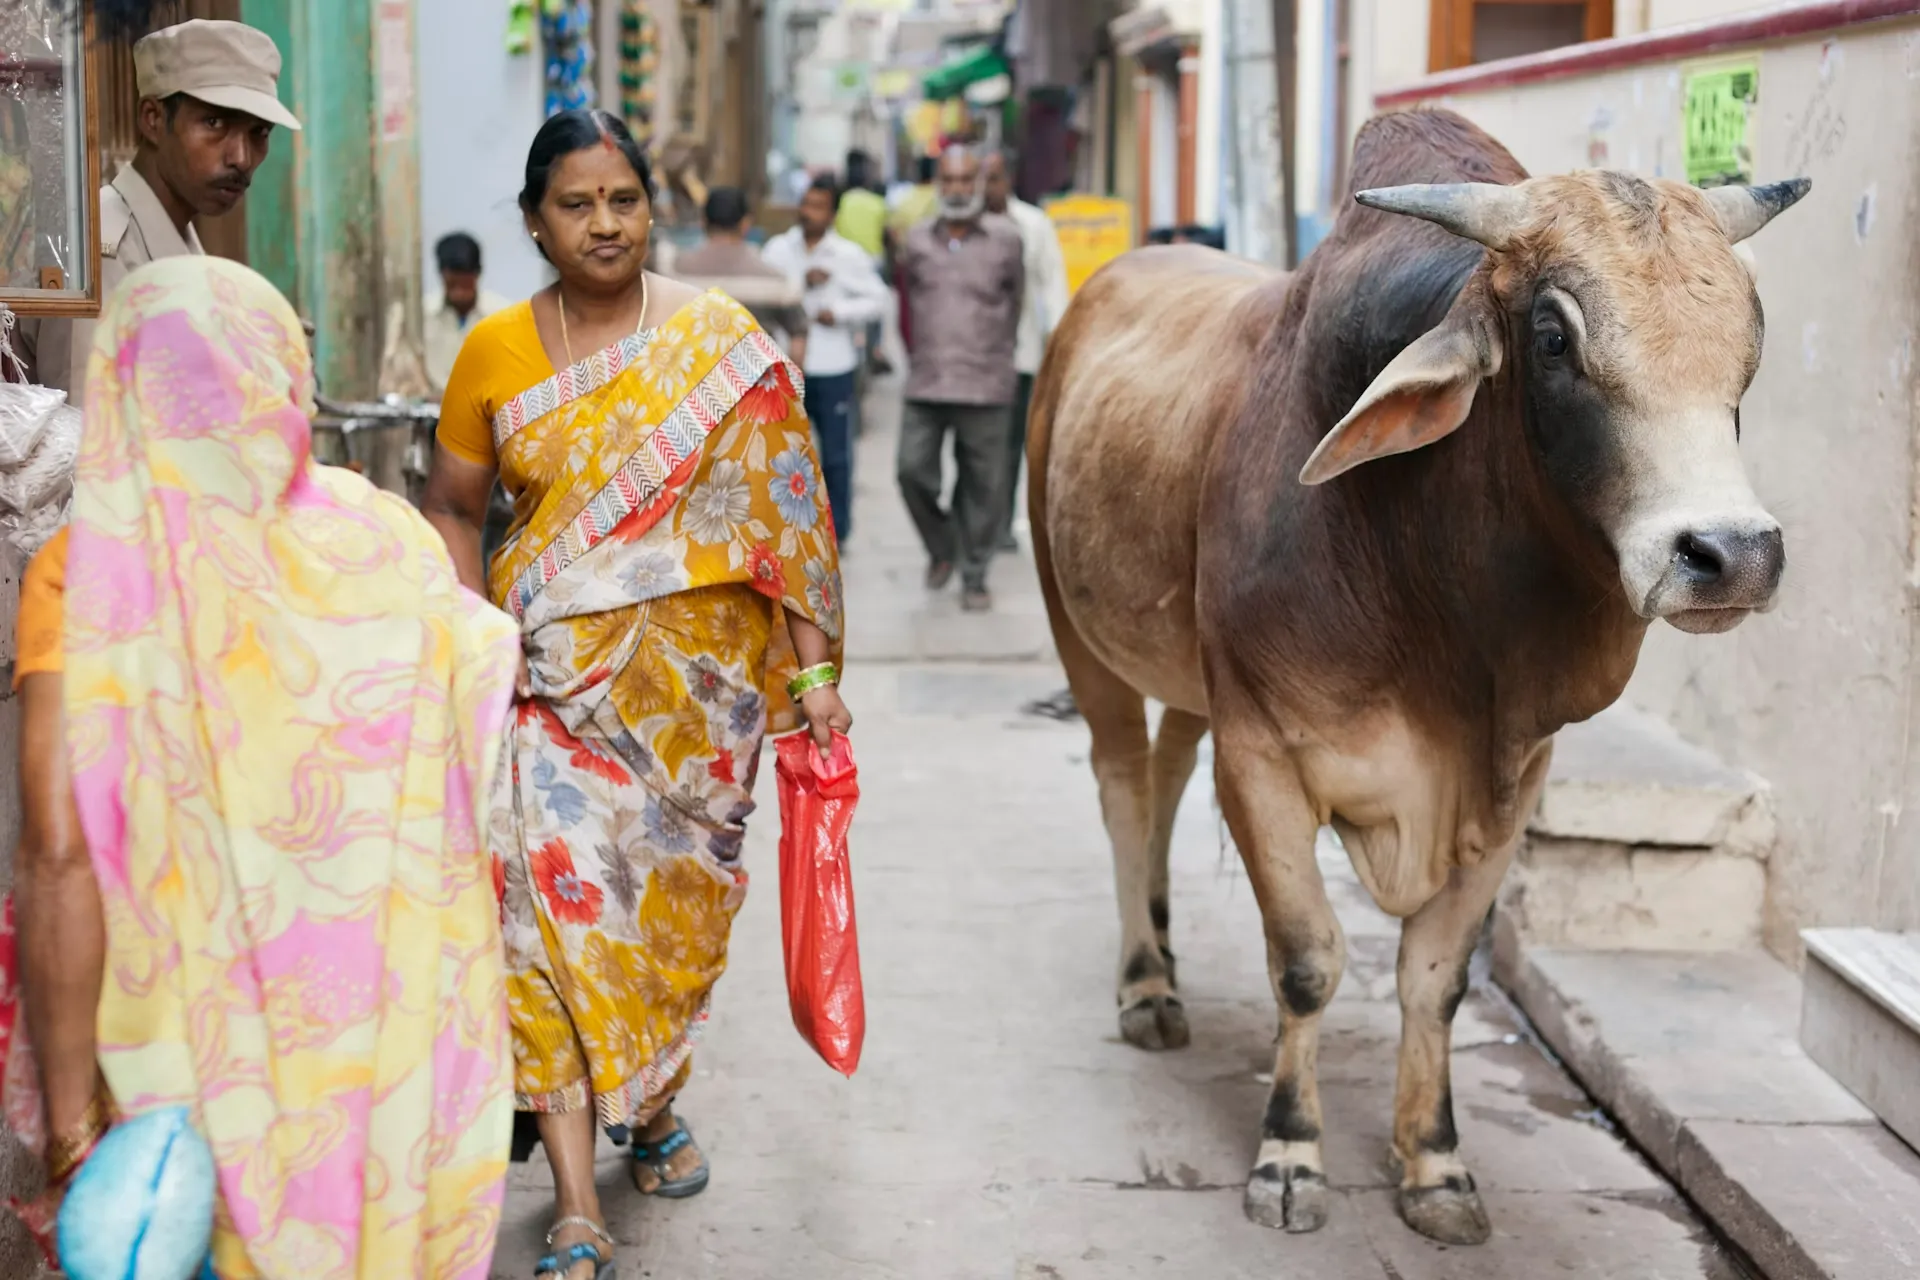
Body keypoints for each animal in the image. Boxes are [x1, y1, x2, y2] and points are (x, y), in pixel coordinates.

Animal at [1029, 110, 1804, 1243]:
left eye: (1751, 334)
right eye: (1555, 338)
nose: (1731, 554)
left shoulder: (1510, 784)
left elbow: (1434, 979)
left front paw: (1435, 1164)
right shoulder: (1262, 754)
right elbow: (1308, 959)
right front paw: (1290, 1155)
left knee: (1166, 774)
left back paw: (1164, 948)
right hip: (1079, 634)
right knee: (1126, 787)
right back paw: (1144, 983)